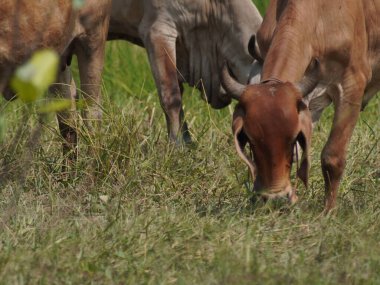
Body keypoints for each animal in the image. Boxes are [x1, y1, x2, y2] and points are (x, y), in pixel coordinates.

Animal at [223, 0, 380, 211]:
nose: (275, 198)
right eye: (250, 140)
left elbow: (332, 158)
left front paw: (328, 211)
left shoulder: (352, 85)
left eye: (292, 138)